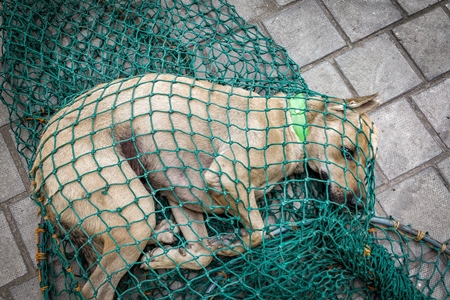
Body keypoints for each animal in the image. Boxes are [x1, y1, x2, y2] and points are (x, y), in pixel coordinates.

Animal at [29, 73, 378, 300]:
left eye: (369, 161)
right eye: (348, 151)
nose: (361, 205)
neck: (291, 124)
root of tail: (39, 167)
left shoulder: (182, 200)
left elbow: (202, 256)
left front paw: (170, 258)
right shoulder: (227, 174)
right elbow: (256, 231)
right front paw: (230, 244)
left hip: (133, 208)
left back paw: (163, 235)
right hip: (134, 208)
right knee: (95, 287)